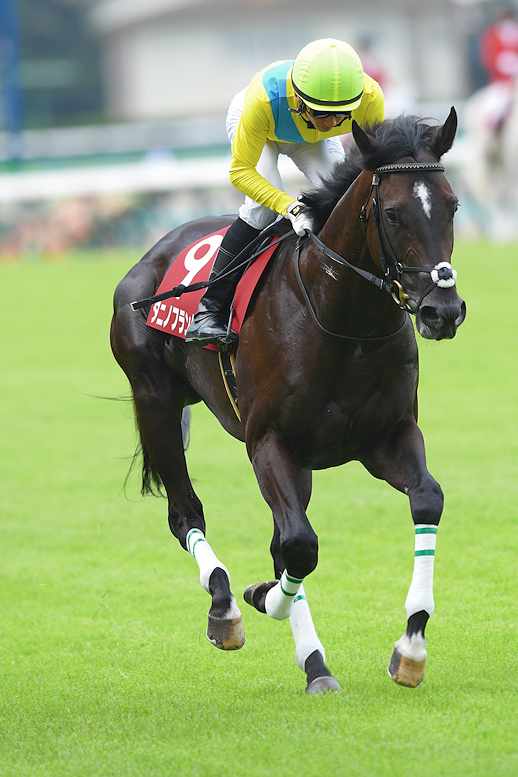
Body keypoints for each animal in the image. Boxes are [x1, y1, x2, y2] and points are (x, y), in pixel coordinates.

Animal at [110, 109, 466, 694]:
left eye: (453, 204)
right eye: (393, 214)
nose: (443, 310)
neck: (342, 317)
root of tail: (150, 255)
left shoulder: (387, 436)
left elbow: (426, 500)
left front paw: (411, 645)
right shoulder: (269, 441)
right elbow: (299, 543)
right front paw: (263, 601)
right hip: (155, 399)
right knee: (186, 513)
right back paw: (230, 609)